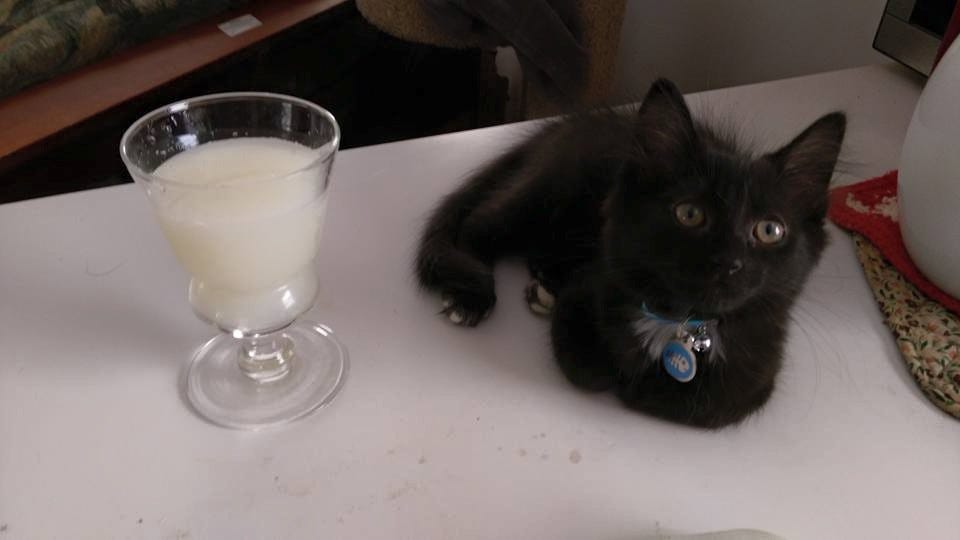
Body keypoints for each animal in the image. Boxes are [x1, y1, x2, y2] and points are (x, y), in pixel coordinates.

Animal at [415, 78, 845, 428]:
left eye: (769, 230)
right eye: (689, 214)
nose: (728, 262)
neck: (683, 323)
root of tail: (566, 125)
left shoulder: (757, 371)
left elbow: (700, 404)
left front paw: (640, 385)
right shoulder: (590, 287)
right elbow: (587, 367)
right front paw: (622, 373)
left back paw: (545, 282)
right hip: (545, 193)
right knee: (478, 226)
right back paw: (471, 295)